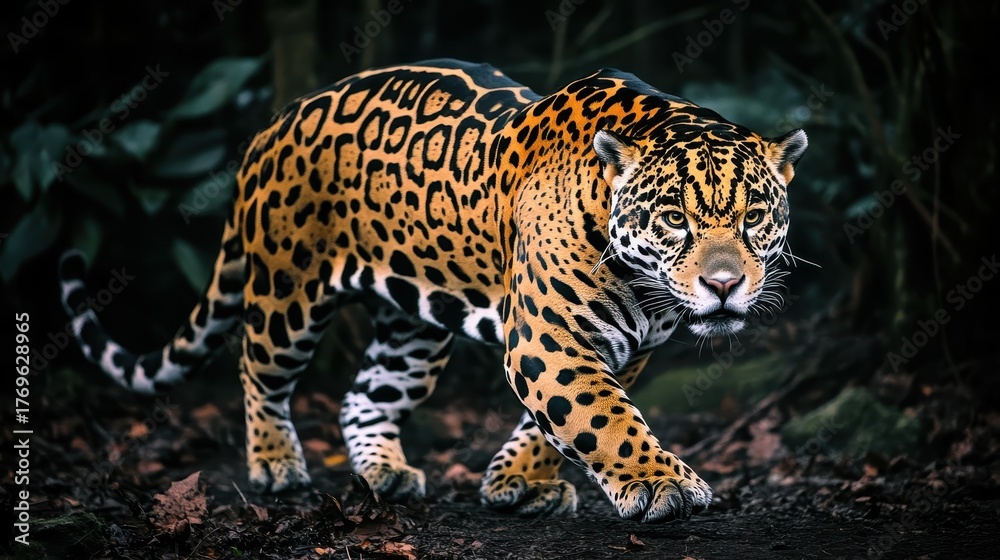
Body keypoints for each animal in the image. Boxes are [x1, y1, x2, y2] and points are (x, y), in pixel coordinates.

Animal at [60, 58, 806, 523]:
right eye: (675, 218)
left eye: (753, 217)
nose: (722, 284)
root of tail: (274, 123)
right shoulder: (550, 339)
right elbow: (601, 418)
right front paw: (661, 483)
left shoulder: (626, 346)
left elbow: (560, 421)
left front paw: (518, 482)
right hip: (285, 291)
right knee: (257, 369)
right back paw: (276, 464)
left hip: (413, 325)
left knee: (367, 395)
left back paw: (385, 473)